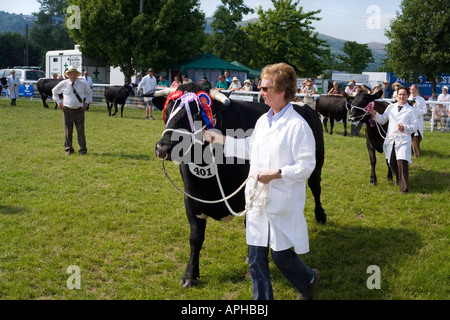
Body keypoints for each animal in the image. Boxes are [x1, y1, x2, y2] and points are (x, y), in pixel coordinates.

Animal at [153, 84, 326, 288]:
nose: (163, 148)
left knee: (315, 188)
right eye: (168, 112)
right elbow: (195, 238)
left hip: (316, 163)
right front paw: (190, 275)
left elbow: (251, 227)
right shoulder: (191, 197)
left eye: (196, 113)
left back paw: (320, 216)